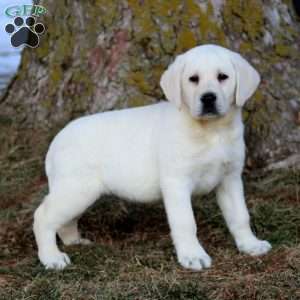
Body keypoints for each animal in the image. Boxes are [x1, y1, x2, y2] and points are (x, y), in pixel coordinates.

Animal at [33, 45, 272, 272]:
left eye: (223, 77)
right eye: (193, 79)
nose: (208, 98)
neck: (212, 131)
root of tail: (57, 141)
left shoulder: (230, 179)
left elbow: (240, 215)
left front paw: (250, 245)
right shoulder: (177, 182)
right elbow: (186, 222)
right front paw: (193, 255)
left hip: (78, 193)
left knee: (64, 221)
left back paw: (75, 242)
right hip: (76, 189)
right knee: (42, 216)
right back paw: (52, 258)